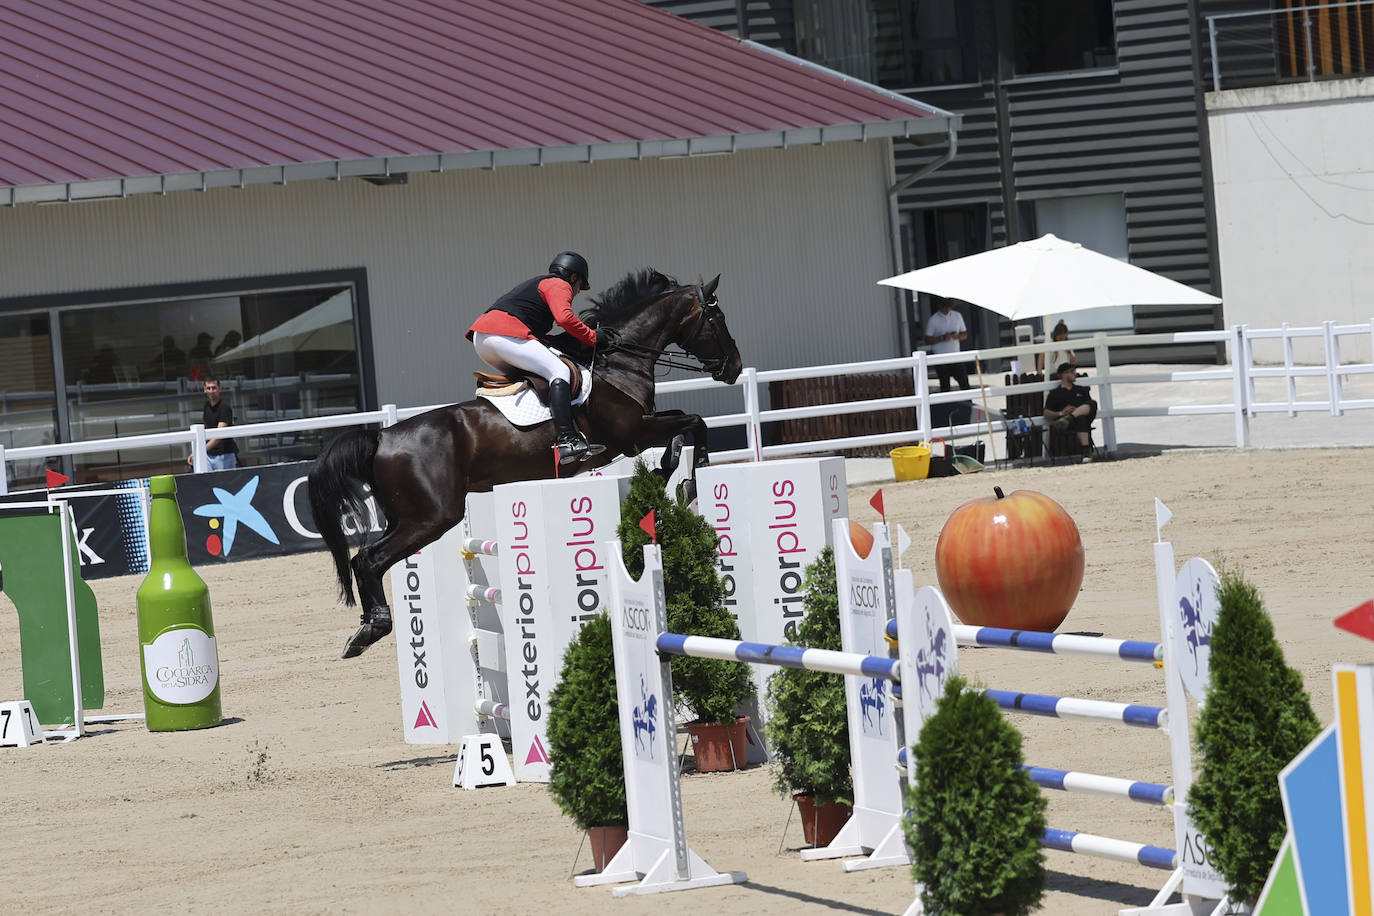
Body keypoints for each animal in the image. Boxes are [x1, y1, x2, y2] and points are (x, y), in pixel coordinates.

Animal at [307, 266, 747, 659]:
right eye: (718, 318)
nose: (734, 368)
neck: (617, 360)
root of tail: (381, 437)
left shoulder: (642, 428)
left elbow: (683, 426)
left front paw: (670, 474)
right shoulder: (632, 434)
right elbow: (694, 422)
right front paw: (689, 477)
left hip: (406, 516)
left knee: (364, 558)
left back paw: (364, 628)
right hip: (432, 517)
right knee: (369, 559)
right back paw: (372, 628)